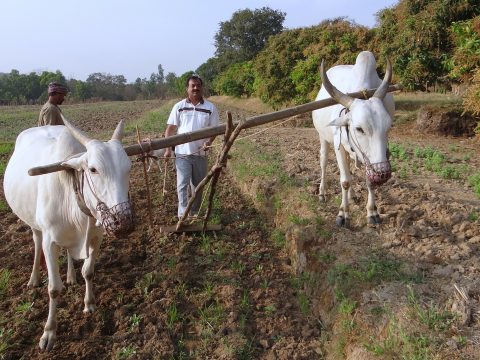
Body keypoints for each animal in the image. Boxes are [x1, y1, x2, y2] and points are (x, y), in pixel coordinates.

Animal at [2, 116, 134, 350]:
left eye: (128, 168)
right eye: (93, 169)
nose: (124, 221)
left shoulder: (96, 237)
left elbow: (88, 272)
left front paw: (89, 304)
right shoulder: (50, 242)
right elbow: (54, 288)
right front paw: (49, 332)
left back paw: (71, 276)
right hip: (33, 225)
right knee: (36, 242)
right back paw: (34, 278)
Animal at [314, 51, 396, 225]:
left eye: (388, 127)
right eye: (359, 129)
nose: (383, 174)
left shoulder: (368, 159)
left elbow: (368, 180)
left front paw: (372, 211)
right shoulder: (338, 147)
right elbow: (345, 181)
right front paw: (343, 213)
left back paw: (352, 195)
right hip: (323, 137)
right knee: (324, 162)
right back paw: (322, 193)